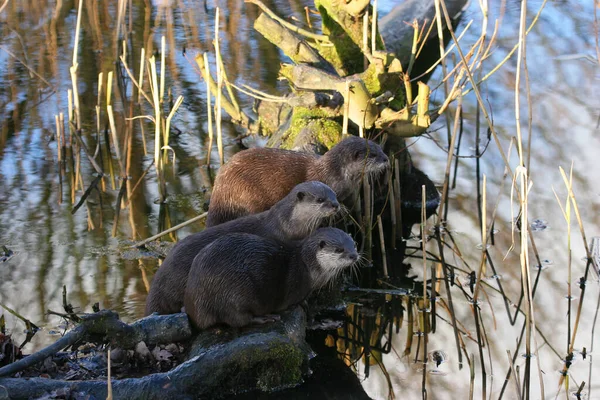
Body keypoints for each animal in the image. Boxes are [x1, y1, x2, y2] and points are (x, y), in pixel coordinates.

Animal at [185, 227, 358, 330]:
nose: (354, 256)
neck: (308, 266)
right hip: (233, 292)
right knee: (238, 320)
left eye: (354, 245)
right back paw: (265, 318)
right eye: (339, 249)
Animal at [206, 135, 392, 227]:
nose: (386, 158)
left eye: (380, 148)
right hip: (248, 194)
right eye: (373, 154)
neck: (336, 174)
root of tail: (219, 192)